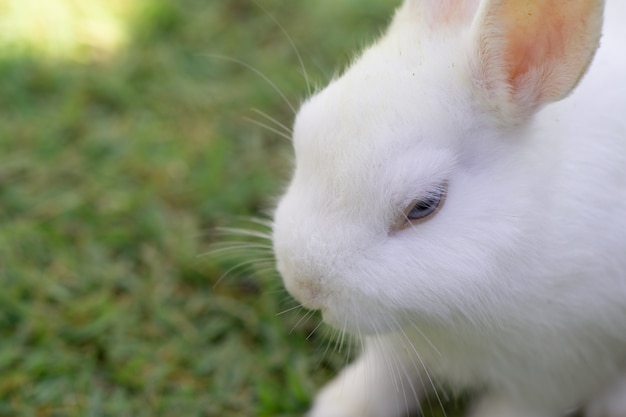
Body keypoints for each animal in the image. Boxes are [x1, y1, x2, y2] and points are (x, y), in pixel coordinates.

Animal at [272, 0, 624, 414]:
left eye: (424, 205)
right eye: (303, 132)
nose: (304, 287)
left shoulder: (557, 377)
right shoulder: (399, 347)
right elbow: (380, 378)